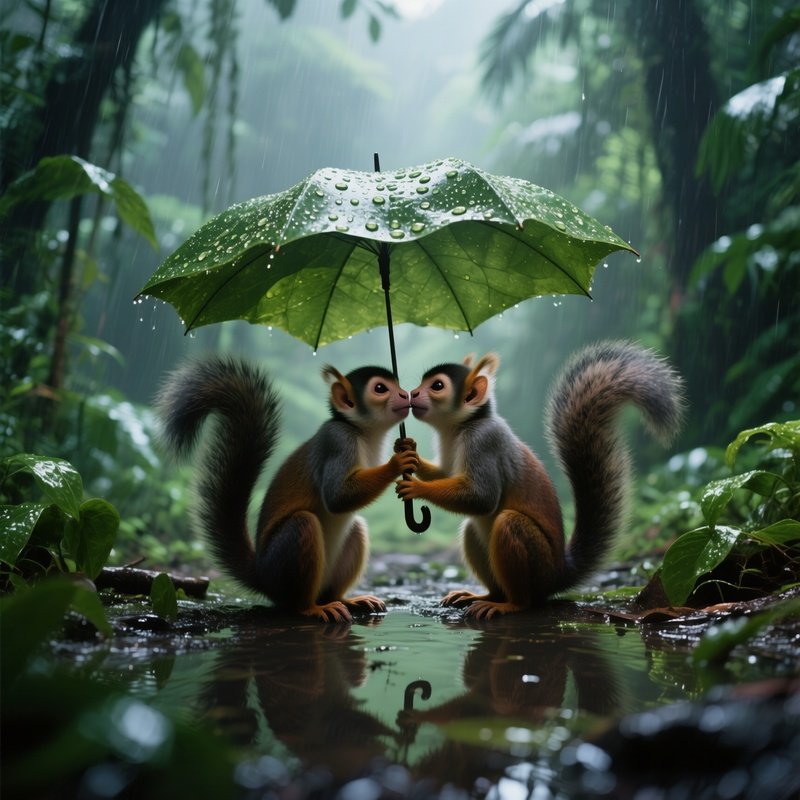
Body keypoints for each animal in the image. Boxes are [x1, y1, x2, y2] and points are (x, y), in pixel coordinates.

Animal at [157, 356, 418, 622]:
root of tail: (262, 578)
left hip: (337, 560)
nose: (405, 394)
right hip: (289, 554)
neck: (364, 433)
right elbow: (338, 497)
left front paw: (407, 447)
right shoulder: (337, 441)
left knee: (346, 556)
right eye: (380, 388)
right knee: (297, 584)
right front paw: (398, 462)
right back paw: (312, 608)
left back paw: (348, 600)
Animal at [396, 341, 684, 618]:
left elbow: (481, 498)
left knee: (522, 586)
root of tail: (559, 575)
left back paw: (508, 605)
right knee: (483, 558)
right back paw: (480, 595)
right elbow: (447, 475)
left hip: (532, 556)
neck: (457, 429)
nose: (411, 394)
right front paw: (409, 454)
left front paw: (417, 486)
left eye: (437, 385)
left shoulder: (484, 443)